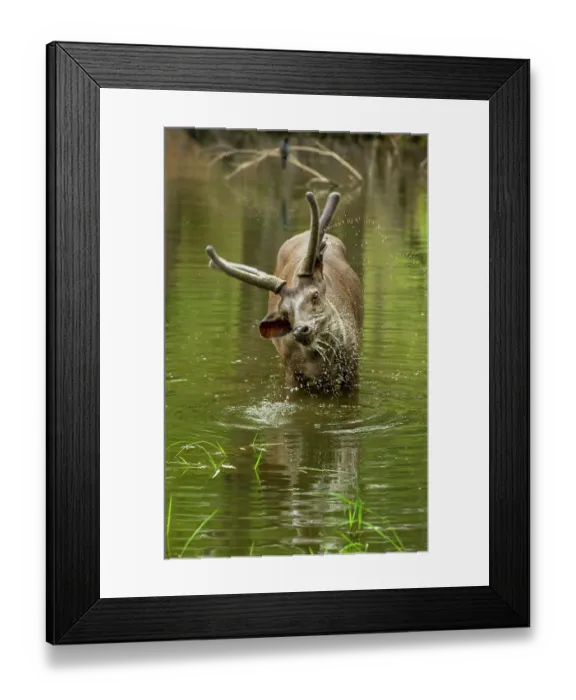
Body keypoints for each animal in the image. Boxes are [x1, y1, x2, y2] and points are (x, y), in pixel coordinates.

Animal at [206, 191, 363, 395]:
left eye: (315, 295)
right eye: (285, 313)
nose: (301, 330)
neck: (320, 363)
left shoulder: (352, 368)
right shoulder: (292, 372)